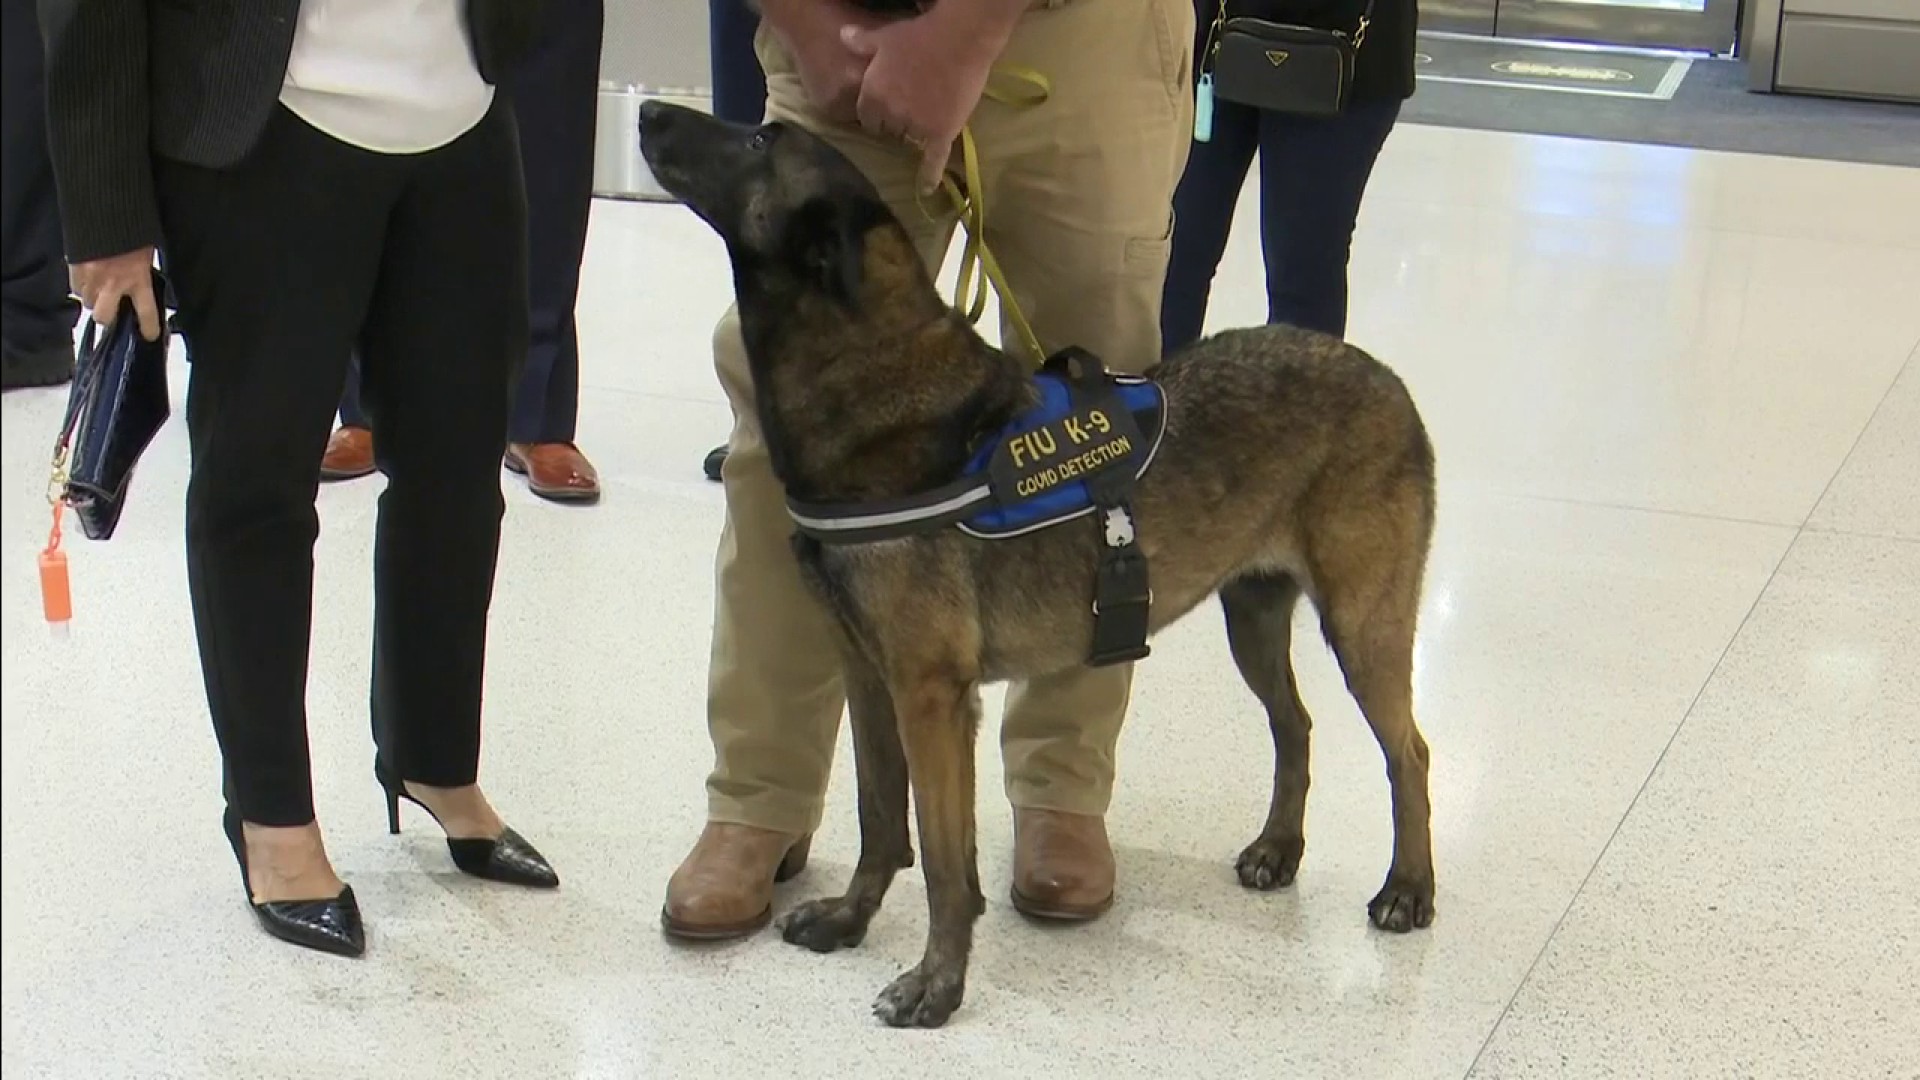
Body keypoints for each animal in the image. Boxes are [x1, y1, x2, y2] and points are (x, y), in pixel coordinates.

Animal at [637, 100, 1436, 1022]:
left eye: (762, 139)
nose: (649, 111)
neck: (871, 381)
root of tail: (1384, 376)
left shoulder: (932, 701)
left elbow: (945, 862)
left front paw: (937, 982)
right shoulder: (869, 680)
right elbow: (880, 820)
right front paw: (851, 917)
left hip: (1363, 628)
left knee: (1409, 754)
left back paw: (1409, 888)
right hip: (1255, 618)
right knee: (1294, 725)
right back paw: (1279, 847)